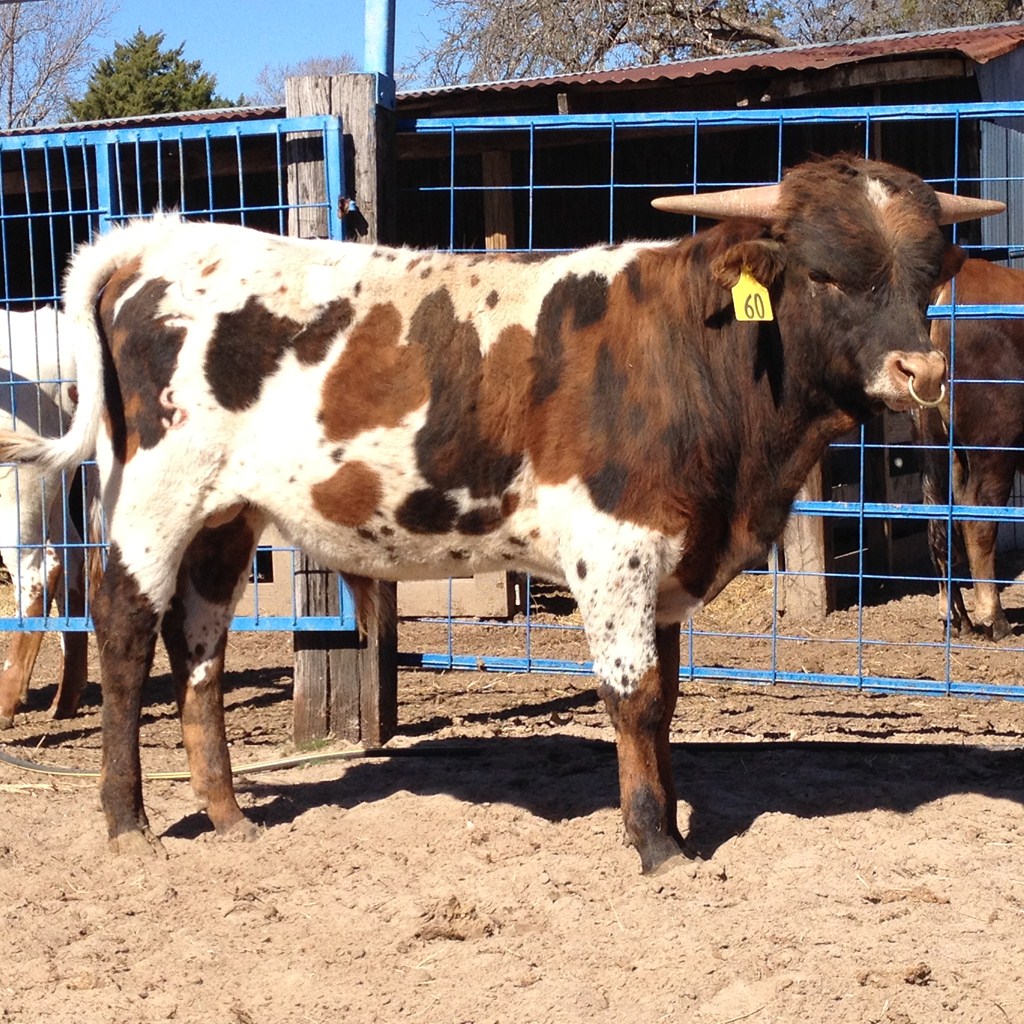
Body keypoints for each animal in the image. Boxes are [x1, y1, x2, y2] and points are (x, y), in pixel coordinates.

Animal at [0, 155, 1000, 871]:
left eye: (929, 275)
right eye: (828, 274)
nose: (921, 370)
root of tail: (152, 245)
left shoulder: (668, 557)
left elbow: (667, 701)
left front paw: (670, 821)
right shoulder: (615, 549)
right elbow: (634, 697)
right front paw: (657, 845)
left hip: (225, 513)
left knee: (198, 646)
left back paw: (227, 814)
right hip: (154, 495)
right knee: (125, 630)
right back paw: (128, 823)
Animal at [915, 258, 1024, 641]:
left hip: (940, 442)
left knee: (940, 514)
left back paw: (956, 616)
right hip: (994, 446)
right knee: (978, 516)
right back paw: (995, 619)